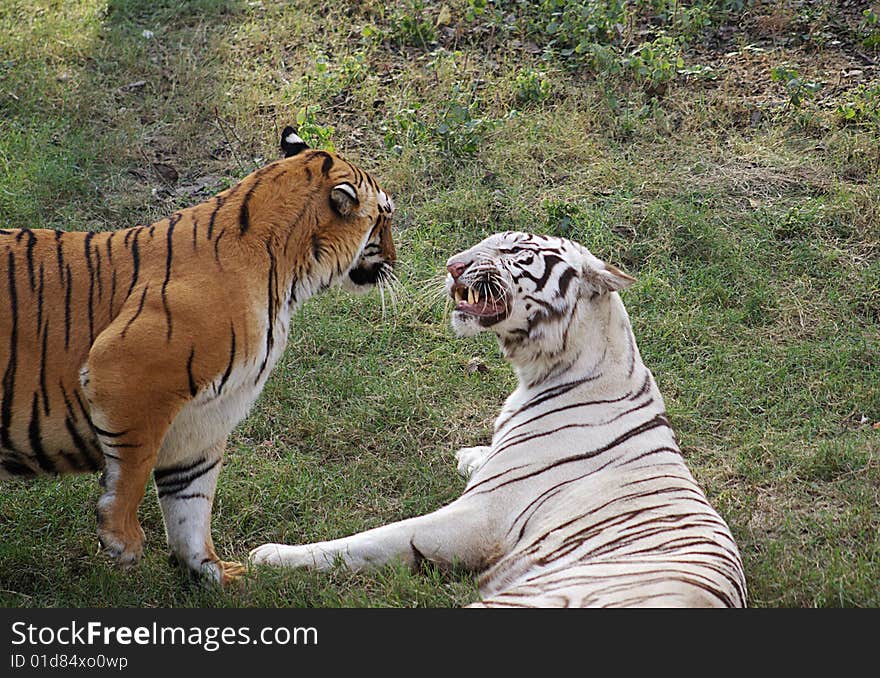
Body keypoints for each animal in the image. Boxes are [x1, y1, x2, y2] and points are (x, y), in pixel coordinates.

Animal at [0, 127, 396, 584]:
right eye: (384, 217)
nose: (395, 259)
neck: (289, 276)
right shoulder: (124, 370)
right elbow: (134, 466)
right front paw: (123, 539)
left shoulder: (204, 419)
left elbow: (190, 501)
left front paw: (216, 573)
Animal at [249, 231, 748, 608]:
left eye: (516, 251)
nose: (451, 265)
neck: (539, 371)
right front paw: (469, 454)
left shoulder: (478, 518)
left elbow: (369, 540)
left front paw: (270, 557)